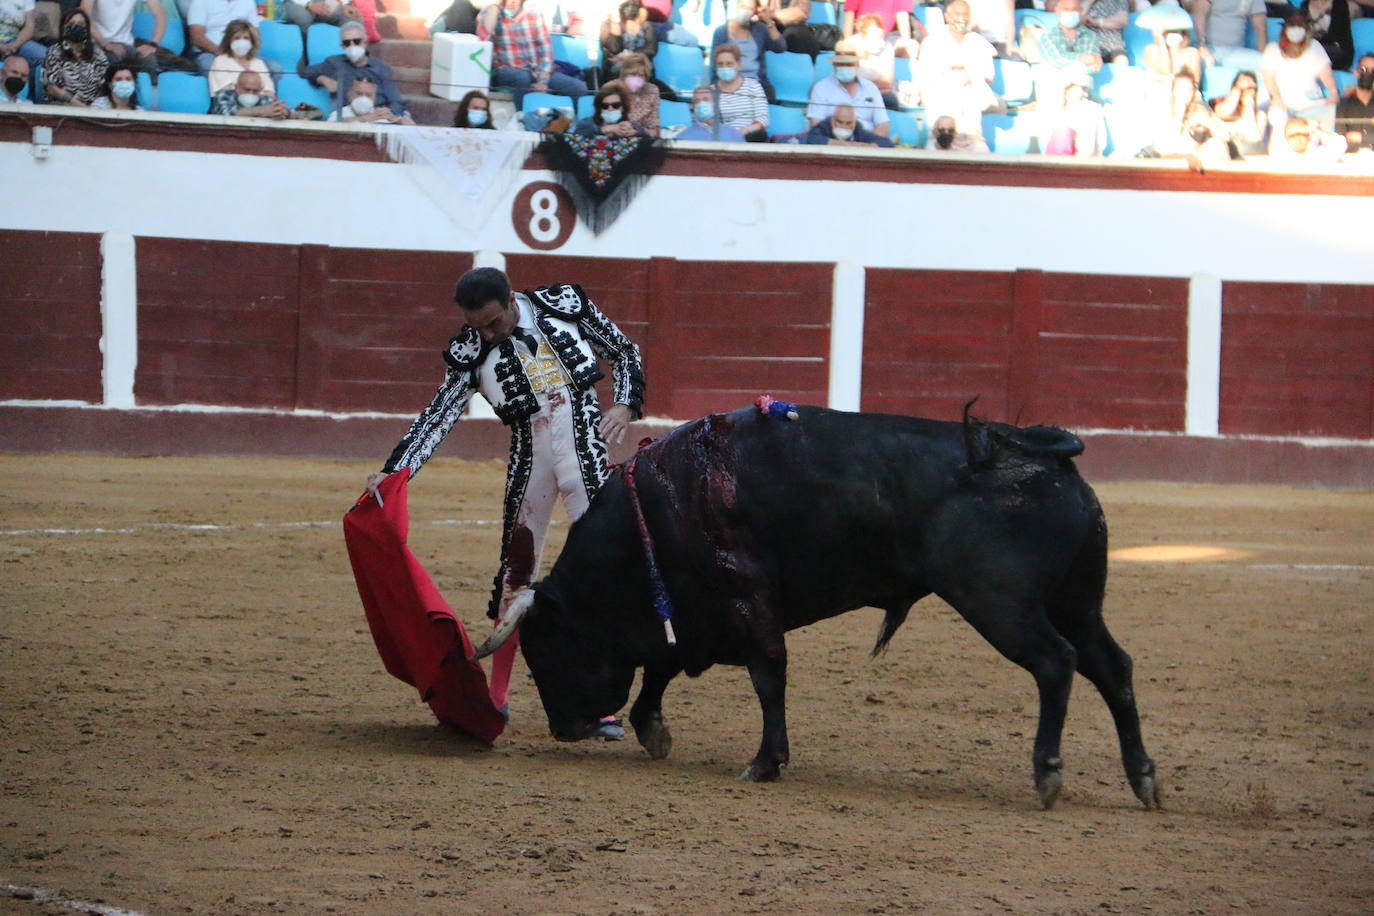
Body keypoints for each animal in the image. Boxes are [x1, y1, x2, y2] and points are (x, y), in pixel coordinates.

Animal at [472, 406, 1159, 807]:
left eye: (544, 649)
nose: (565, 727)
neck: (660, 511)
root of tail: (1032, 448)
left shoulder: (744, 601)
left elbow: (766, 675)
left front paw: (764, 762)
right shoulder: (691, 613)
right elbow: (663, 667)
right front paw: (653, 729)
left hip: (1000, 603)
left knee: (1056, 663)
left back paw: (1048, 773)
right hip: (1077, 602)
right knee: (1113, 666)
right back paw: (1143, 779)